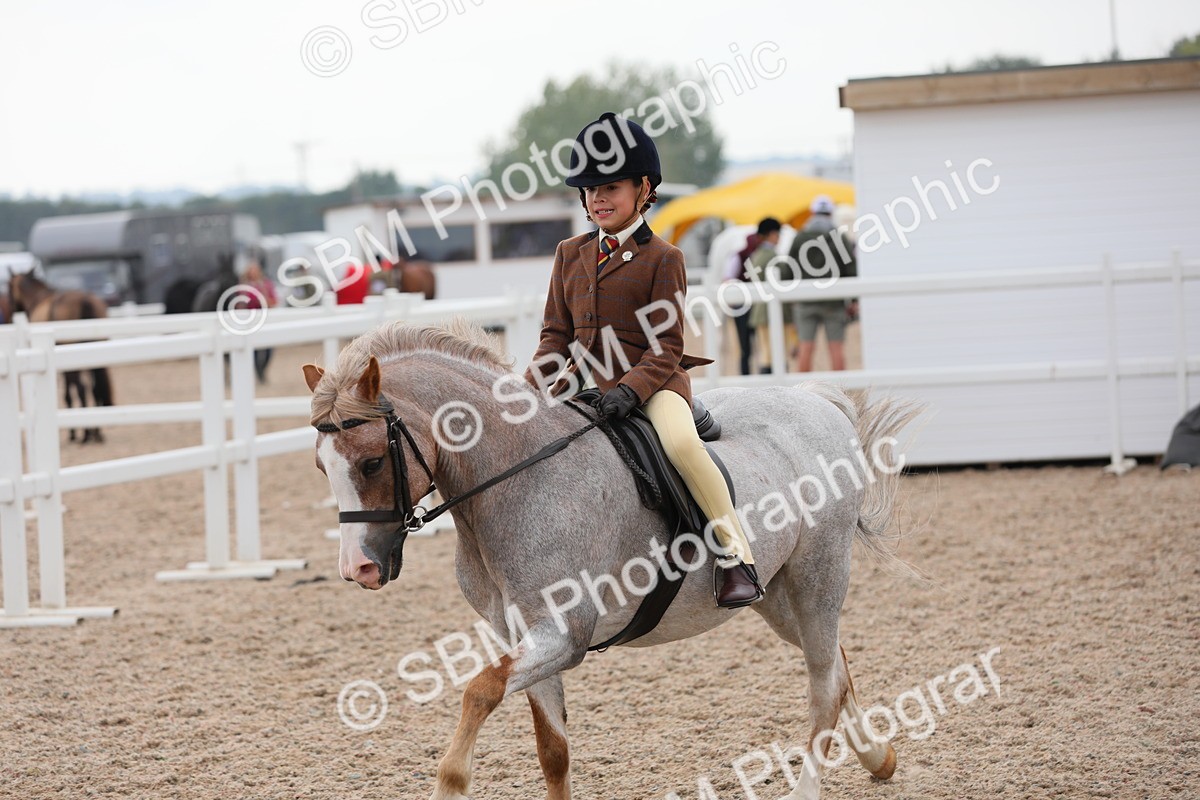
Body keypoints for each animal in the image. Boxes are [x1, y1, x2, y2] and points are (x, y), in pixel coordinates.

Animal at [8, 272, 114, 443]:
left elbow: (68, 394)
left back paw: (85, 434)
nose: (11, 310)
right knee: (95, 388)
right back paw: (96, 433)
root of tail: (84, 300)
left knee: (81, 388)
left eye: (9, 287)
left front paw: (73, 433)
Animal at [303, 319, 917, 800]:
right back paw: (878, 758)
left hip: (818, 577)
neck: (515, 478)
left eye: (373, 462)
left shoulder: (563, 636)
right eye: (320, 467)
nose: (357, 569)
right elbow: (552, 752)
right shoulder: (523, 638)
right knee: (835, 666)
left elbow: (478, 690)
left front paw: (450, 784)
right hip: (777, 594)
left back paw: (812, 787)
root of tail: (816, 402)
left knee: (822, 686)